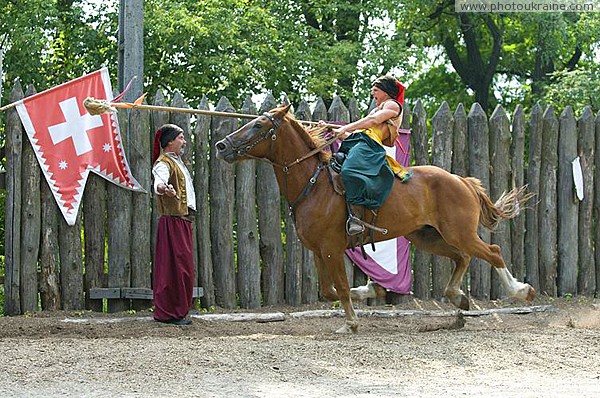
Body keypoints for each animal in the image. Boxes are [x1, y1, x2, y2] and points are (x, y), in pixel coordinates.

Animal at [216, 103, 536, 332]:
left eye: (258, 125)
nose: (222, 146)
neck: (314, 183)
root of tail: (461, 180)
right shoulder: (319, 252)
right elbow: (328, 291)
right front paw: (372, 288)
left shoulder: (331, 250)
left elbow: (340, 288)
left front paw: (351, 323)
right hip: (427, 236)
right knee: (462, 257)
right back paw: (458, 298)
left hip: (460, 233)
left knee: (492, 252)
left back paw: (521, 290)